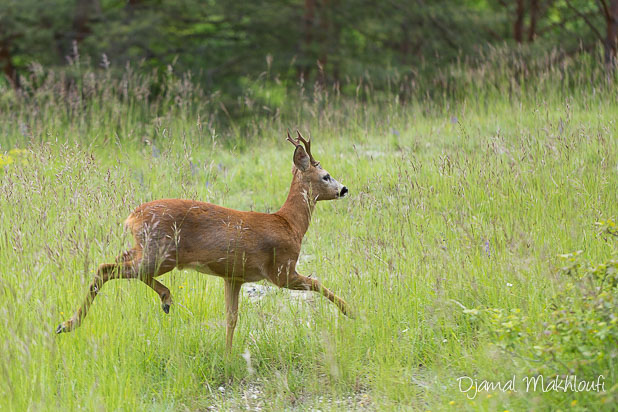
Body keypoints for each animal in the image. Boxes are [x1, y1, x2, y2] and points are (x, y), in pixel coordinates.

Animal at [57, 131, 352, 348]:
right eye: (326, 176)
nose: (344, 189)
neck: (290, 224)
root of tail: (131, 217)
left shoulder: (234, 276)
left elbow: (231, 317)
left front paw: (228, 354)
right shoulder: (281, 270)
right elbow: (317, 282)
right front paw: (350, 310)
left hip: (146, 249)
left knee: (115, 264)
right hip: (160, 255)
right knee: (108, 268)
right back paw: (72, 323)